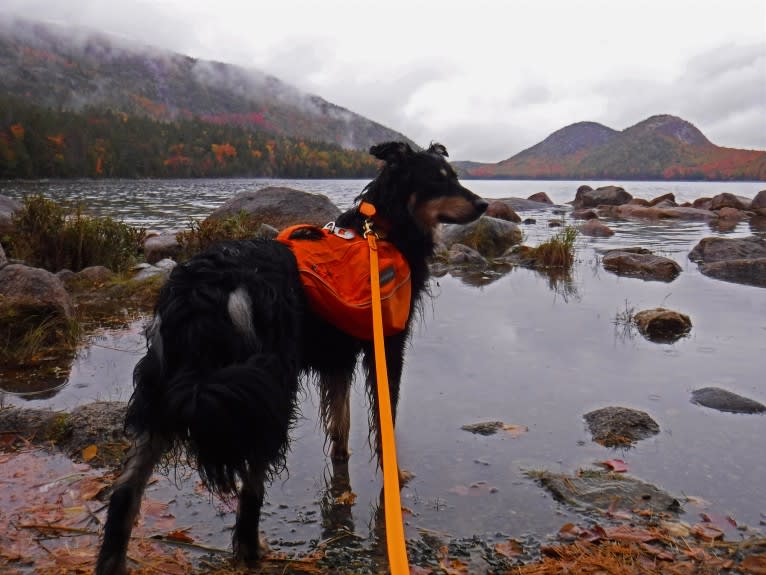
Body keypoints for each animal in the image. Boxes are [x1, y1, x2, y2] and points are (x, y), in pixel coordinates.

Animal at [96, 142, 488, 572]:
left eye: (453, 175)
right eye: (438, 179)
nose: (484, 204)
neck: (382, 232)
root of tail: (202, 290)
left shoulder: (338, 358)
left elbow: (339, 424)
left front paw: (341, 467)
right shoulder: (386, 346)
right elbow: (384, 422)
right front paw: (394, 474)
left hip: (172, 388)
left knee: (125, 490)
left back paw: (112, 562)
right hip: (266, 392)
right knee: (250, 487)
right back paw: (252, 551)